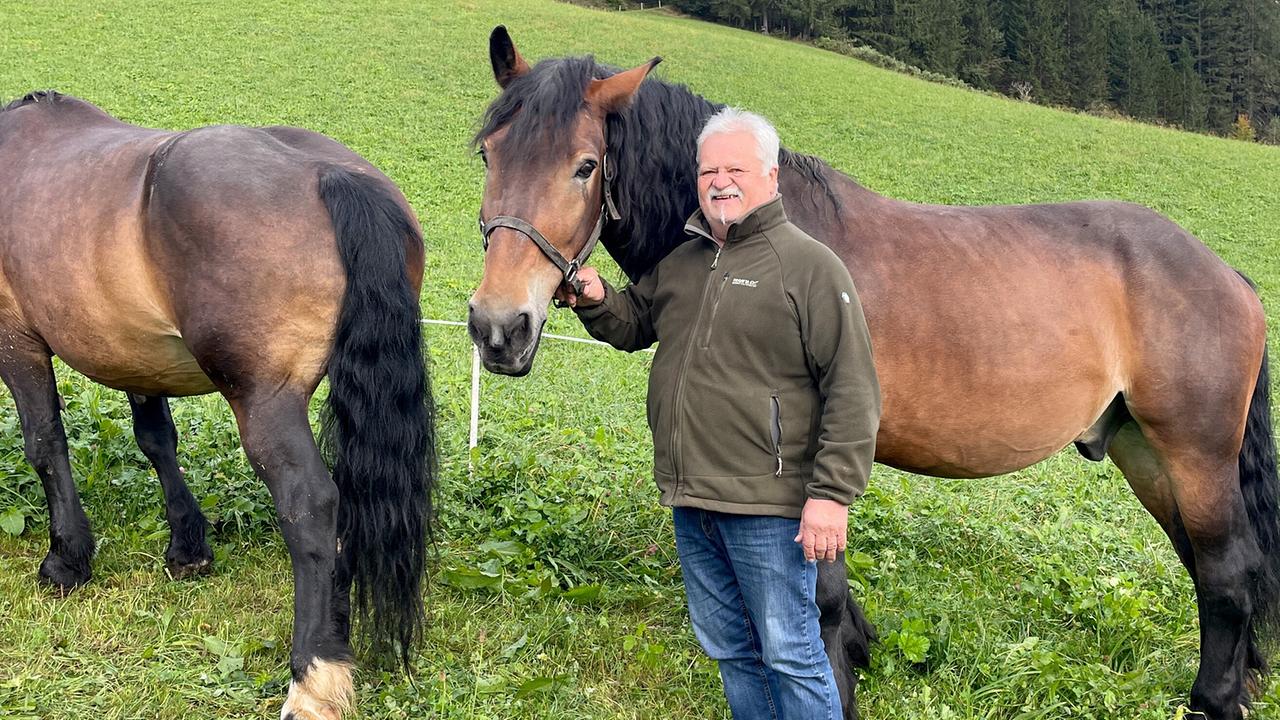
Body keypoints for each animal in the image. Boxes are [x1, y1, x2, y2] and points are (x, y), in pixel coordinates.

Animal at [0, 90, 435, 717]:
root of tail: (328, 175)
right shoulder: (140, 356)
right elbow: (157, 441)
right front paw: (187, 546)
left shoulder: (16, 341)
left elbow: (44, 443)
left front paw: (67, 560)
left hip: (265, 405)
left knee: (311, 506)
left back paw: (313, 676)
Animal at [473, 28, 1280, 717]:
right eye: (488, 155)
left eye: (584, 166)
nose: (496, 327)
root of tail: (1228, 275)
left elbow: (819, 602)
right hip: (1145, 454)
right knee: (1213, 568)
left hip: (1194, 454)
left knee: (1228, 572)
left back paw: (1213, 701)